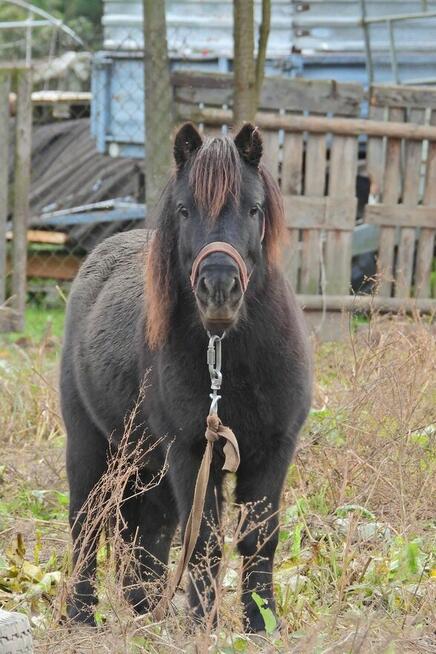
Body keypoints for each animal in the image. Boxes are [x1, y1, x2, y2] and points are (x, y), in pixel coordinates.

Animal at [60, 124, 314, 636]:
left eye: (253, 208)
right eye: (183, 210)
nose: (219, 289)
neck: (229, 360)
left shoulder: (273, 452)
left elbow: (260, 539)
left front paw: (261, 624)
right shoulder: (191, 452)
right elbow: (205, 544)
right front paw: (202, 626)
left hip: (146, 464)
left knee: (146, 533)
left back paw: (145, 612)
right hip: (91, 446)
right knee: (87, 523)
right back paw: (82, 615)